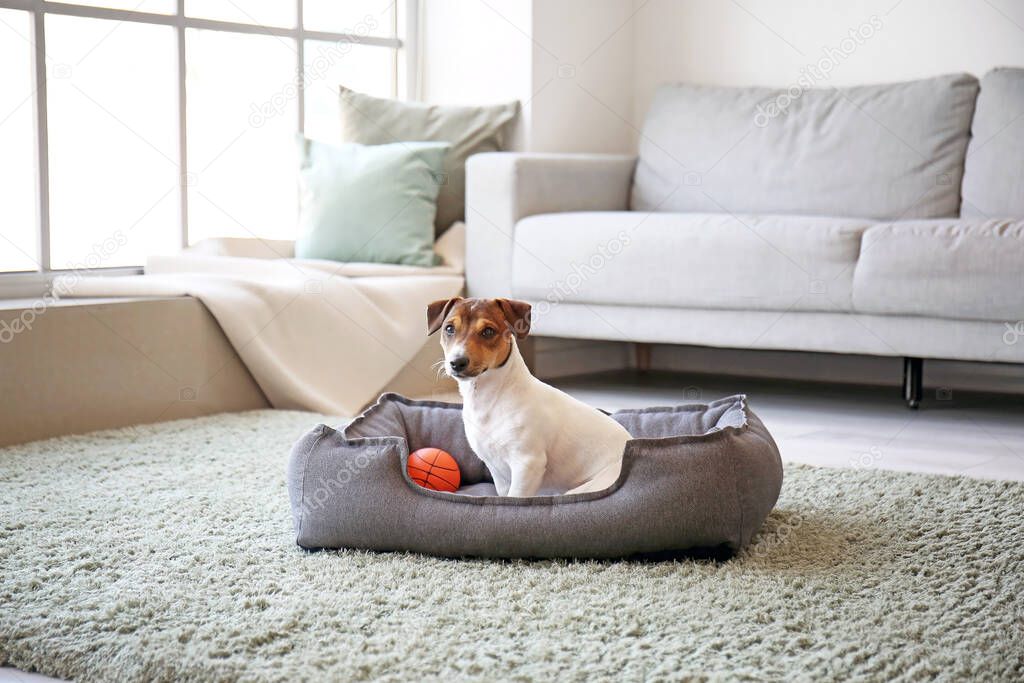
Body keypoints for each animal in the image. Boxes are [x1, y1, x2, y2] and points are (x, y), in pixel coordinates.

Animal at [425, 294, 630, 497]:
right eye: (449, 328)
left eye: (488, 332)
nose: (456, 362)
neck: (489, 398)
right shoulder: (497, 471)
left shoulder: (527, 465)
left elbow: (515, 497)